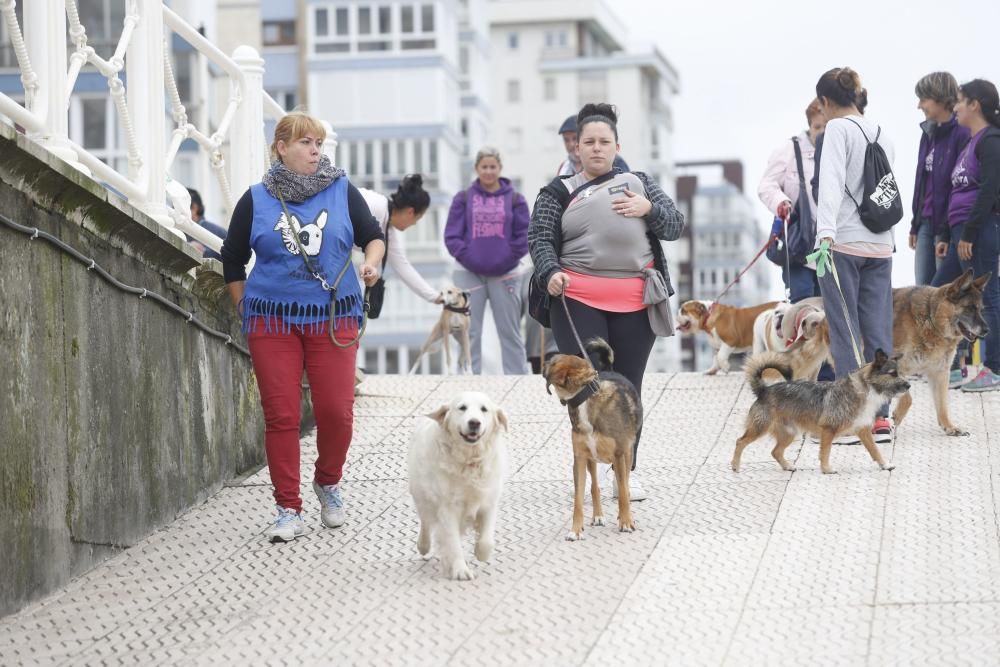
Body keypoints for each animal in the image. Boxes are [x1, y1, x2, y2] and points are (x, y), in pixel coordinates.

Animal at [406, 392, 508, 580]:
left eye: (484, 409)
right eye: (462, 408)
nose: (474, 422)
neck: (468, 461)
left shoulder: (489, 501)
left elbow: (486, 539)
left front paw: (481, 553)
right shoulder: (447, 508)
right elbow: (452, 542)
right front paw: (461, 570)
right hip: (421, 496)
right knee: (426, 522)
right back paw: (424, 545)